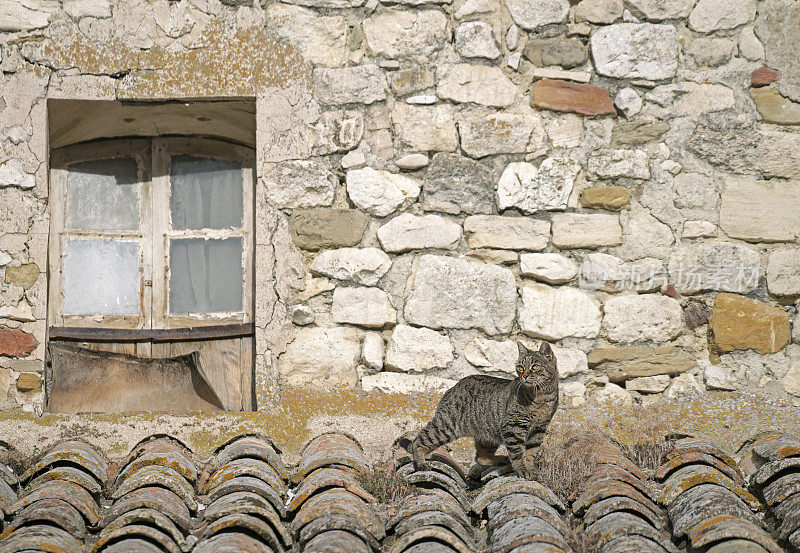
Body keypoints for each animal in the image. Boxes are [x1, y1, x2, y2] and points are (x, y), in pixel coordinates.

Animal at [412, 338, 556, 476]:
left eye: (535, 367)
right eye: (520, 367)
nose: (524, 376)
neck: (541, 396)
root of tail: (453, 387)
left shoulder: (539, 429)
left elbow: (531, 453)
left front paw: (532, 470)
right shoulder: (514, 426)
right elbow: (517, 452)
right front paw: (522, 469)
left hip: (488, 434)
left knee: (481, 457)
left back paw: (501, 459)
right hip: (446, 426)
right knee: (419, 440)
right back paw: (420, 462)